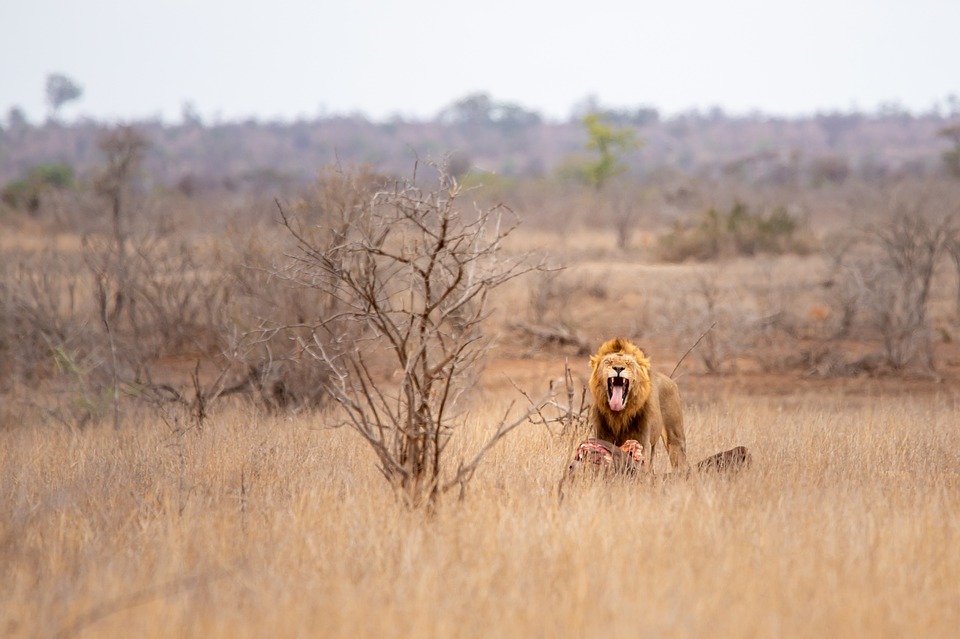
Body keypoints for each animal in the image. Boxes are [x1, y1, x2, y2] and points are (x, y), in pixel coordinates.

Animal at [584, 340, 688, 476]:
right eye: (609, 362)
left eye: (629, 363)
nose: (618, 368)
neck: (619, 415)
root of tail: (671, 381)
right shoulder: (602, 437)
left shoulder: (642, 441)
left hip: (674, 436)